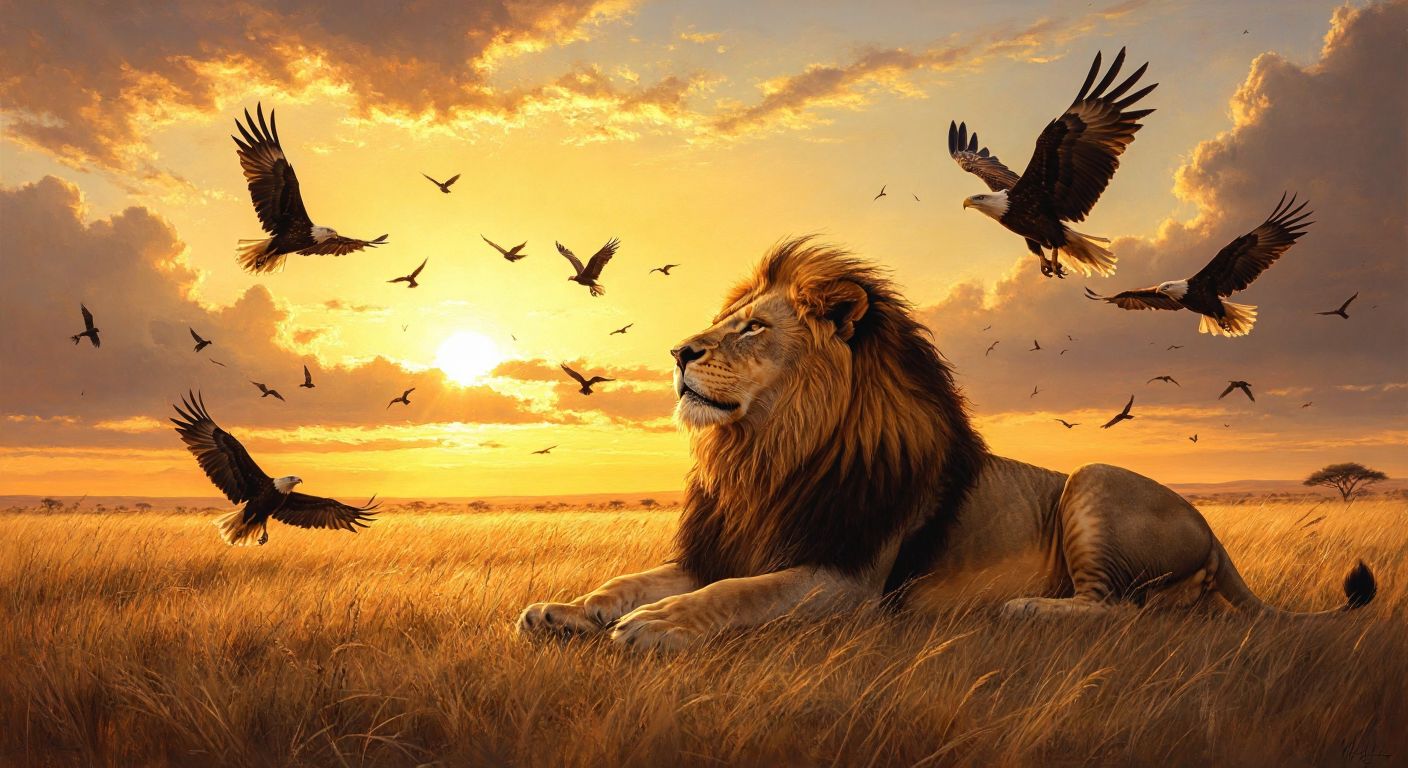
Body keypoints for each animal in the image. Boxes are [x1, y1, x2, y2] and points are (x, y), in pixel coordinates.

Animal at [518, 238, 1377, 651]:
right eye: (725, 323)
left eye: (753, 328)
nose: (677, 353)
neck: (766, 455)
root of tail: (1213, 532)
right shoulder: (726, 542)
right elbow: (628, 580)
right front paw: (565, 612)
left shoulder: (846, 578)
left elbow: (738, 593)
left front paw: (656, 627)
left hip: (1094, 478)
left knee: (1124, 612)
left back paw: (1026, 609)